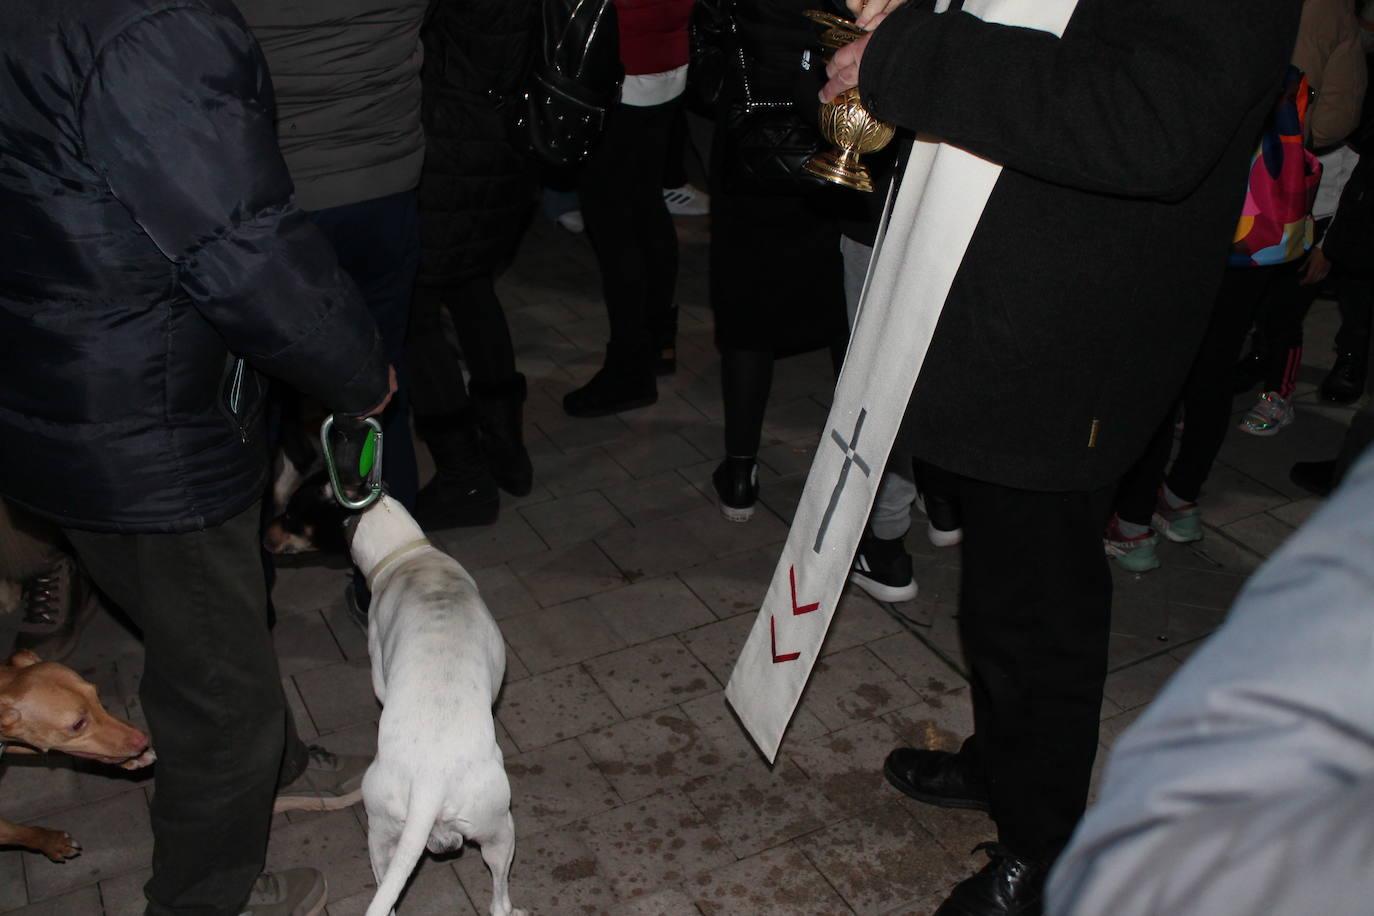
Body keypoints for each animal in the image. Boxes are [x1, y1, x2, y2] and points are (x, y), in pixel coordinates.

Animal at [0, 650, 154, 862]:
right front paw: (53, 843)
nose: (143, 740)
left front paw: (133, 759)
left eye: (97, 695)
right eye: (78, 724)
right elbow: (18, 833)